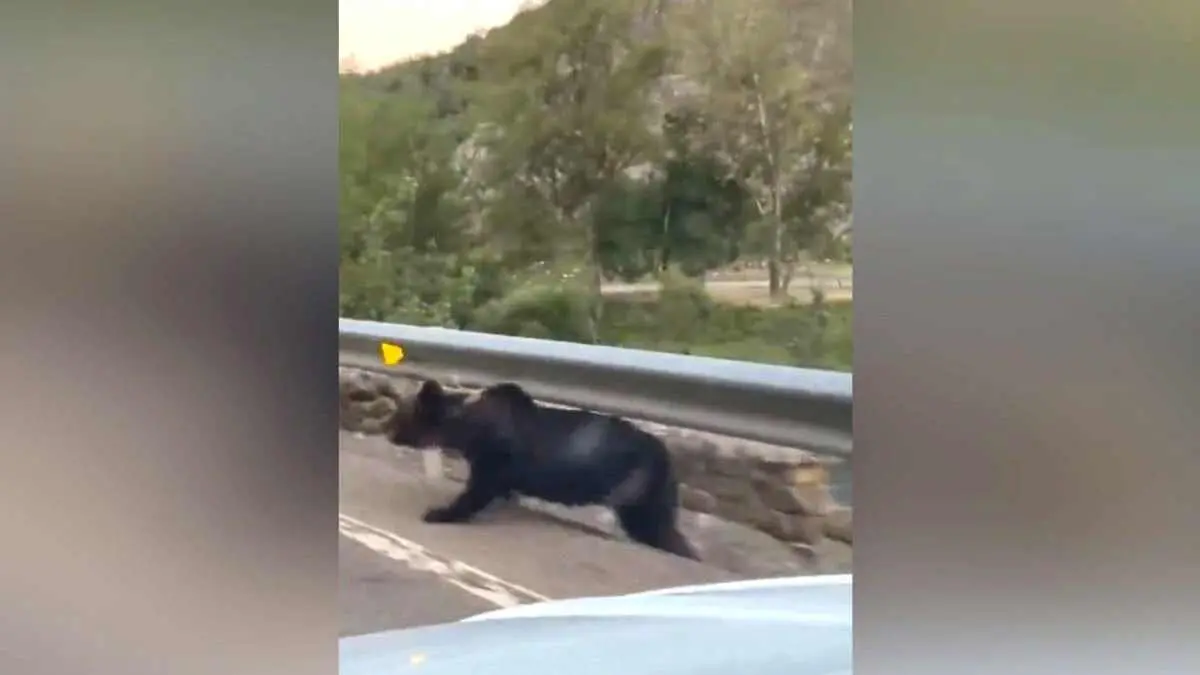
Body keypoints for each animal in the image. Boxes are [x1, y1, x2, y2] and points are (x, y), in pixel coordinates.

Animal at [383, 378, 698, 560]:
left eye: (403, 413)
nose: (388, 430)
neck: (465, 431)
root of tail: (668, 458)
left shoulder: (491, 470)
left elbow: (470, 497)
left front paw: (438, 513)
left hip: (638, 498)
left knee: (663, 533)